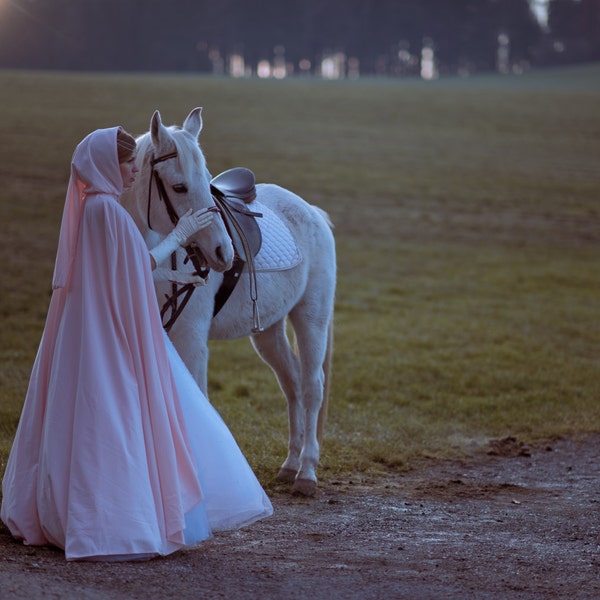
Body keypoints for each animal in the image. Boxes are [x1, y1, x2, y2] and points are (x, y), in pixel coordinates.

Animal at [120, 109, 338, 496]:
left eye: (208, 183)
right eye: (179, 187)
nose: (224, 251)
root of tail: (311, 211)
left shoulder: (191, 338)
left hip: (311, 318)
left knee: (312, 387)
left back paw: (307, 472)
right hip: (268, 332)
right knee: (292, 385)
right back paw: (290, 464)